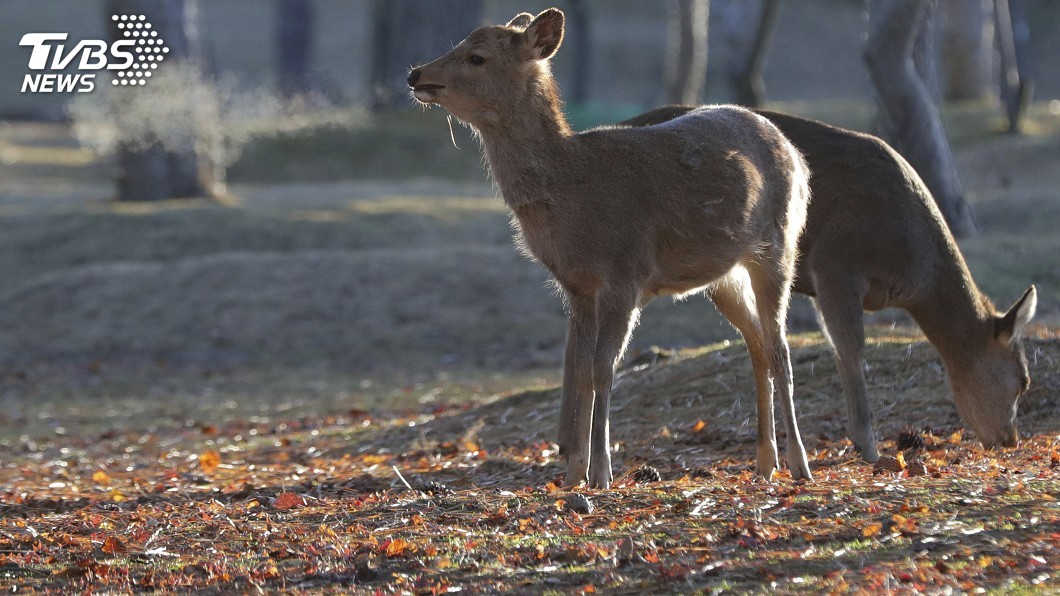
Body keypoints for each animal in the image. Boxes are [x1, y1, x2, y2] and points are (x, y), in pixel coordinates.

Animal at [408, 8, 813, 489]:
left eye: (477, 57)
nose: (415, 74)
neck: (573, 192)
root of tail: (797, 155)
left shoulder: (625, 271)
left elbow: (604, 367)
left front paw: (601, 471)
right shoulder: (577, 287)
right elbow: (581, 369)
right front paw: (572, 473)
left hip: (779, 243)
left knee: (779, 346)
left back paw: (799, 464)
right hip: (723, 274)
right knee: (756, 343)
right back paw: (765, 462)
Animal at [622, 105, 1038, 461]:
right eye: (1023, 381)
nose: (1010, 440)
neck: (913, 270)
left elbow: (837, 350)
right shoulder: (836, 263)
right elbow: (852, 350)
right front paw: (870, 447)